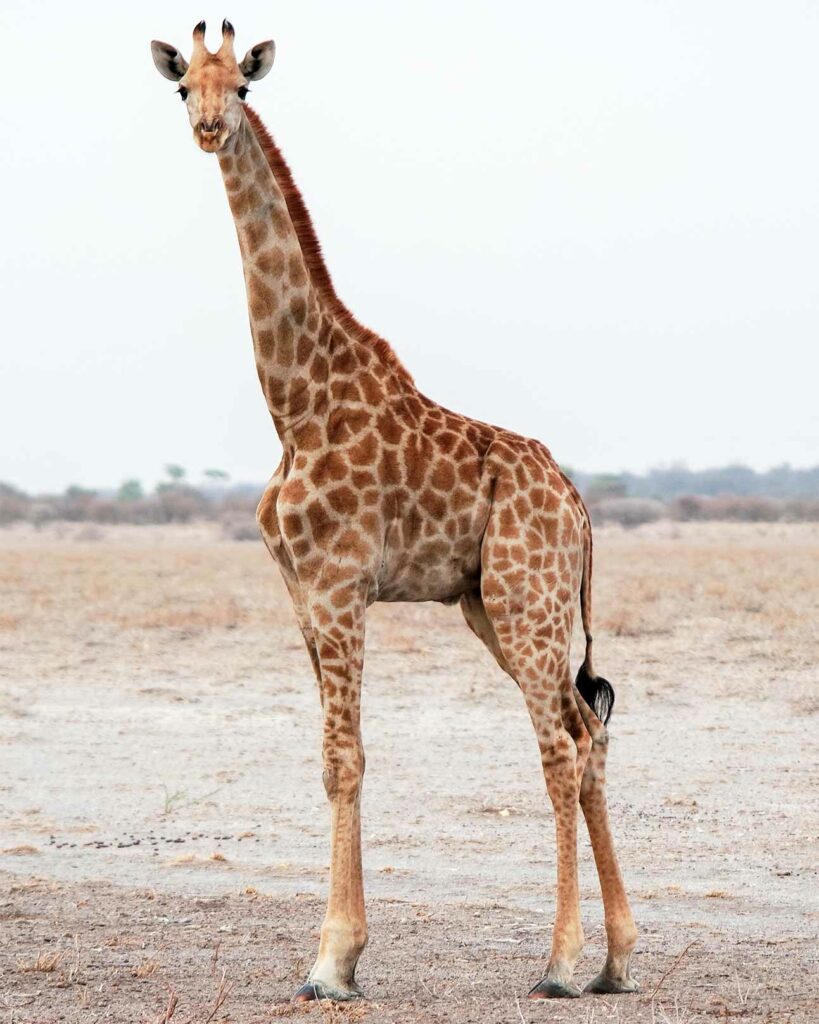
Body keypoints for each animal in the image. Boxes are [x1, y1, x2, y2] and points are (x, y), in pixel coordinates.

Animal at [151, 19, 638, 1003]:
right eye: (184, 87)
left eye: (243, 88)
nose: (211, 128)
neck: (294, 403)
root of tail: (577, 507)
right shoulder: (302, 596)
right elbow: (333, 757)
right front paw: (337, 955)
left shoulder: (341, 586)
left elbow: (346, 759)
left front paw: (331, 962)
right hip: (492, 606)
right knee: (589, 732)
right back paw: (615, 958)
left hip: (526, 603)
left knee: (560, 749)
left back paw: (561, 963)